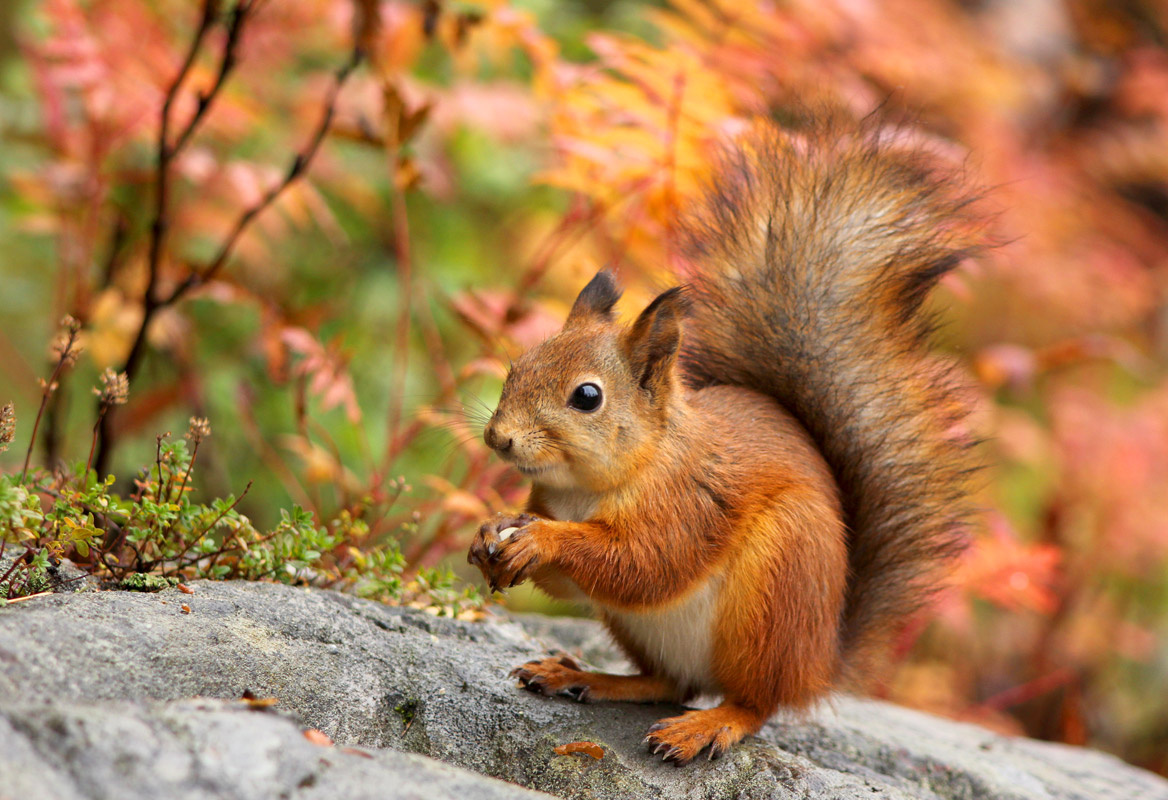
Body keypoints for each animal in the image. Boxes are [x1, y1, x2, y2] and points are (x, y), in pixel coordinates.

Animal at [467, 116, 980, 766]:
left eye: (587, 396)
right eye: (518, 365)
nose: (498, 438)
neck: (590, 487)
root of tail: (818, 664)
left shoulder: (690, 503)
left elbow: (643, 563)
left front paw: (543, 540)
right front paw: (491, 529)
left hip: (773, 592)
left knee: (753, 702)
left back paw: (706, 726)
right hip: (641, 629)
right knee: (670, 682)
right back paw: (584, 676)